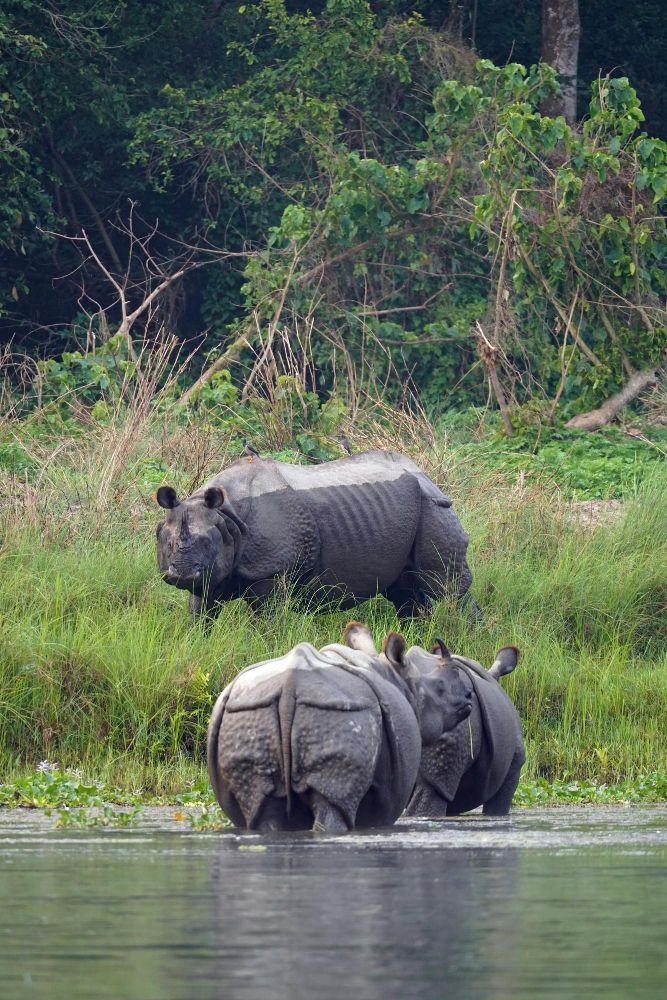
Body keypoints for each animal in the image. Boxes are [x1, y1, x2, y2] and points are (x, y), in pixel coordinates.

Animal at [155, 450, 474, 619]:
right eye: (165, 542)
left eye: (207, 541)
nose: (181, 574)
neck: (226, 514)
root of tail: (425, 474)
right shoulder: (211, 574)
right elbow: (200, 614)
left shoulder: (272, 571)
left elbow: (269, 622)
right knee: (405, 592)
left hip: (433, 507)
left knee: (447, 587)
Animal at [206, 624, 473, 833]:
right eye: (440, 687)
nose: (469, 697)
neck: (397, 675)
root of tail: (290, 687)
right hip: (341, 713)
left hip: (248, 712)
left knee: (261, 808)